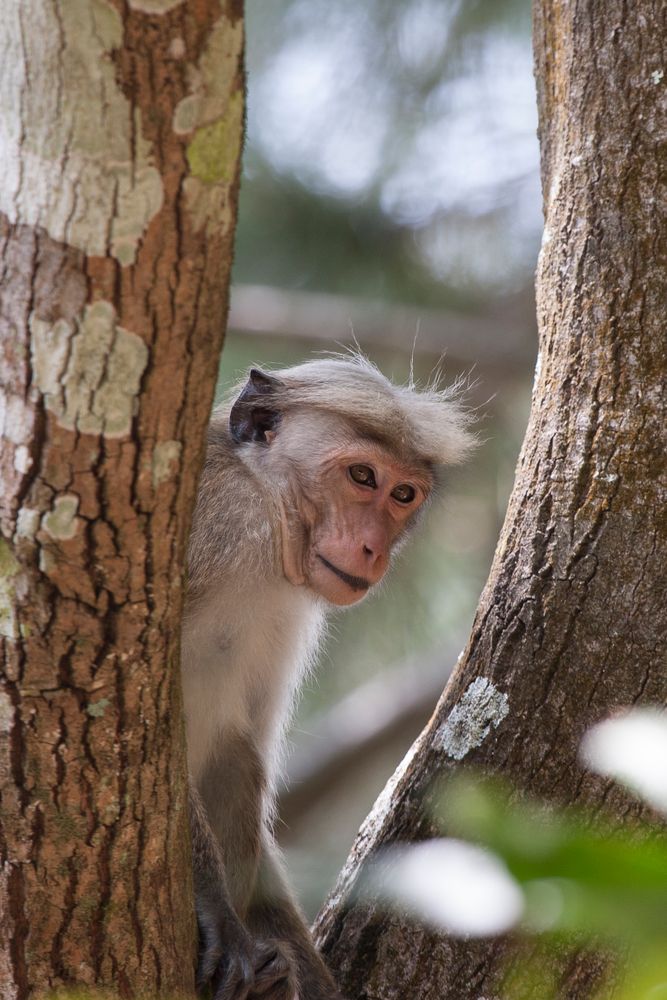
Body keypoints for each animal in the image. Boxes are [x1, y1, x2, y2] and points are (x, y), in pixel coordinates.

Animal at [183, 358, 474, 1000]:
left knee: (240, 761)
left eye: (402, 494)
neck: (267, 513)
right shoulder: (215, 526)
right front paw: (218, 915)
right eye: (362, 475)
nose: (372, 549)